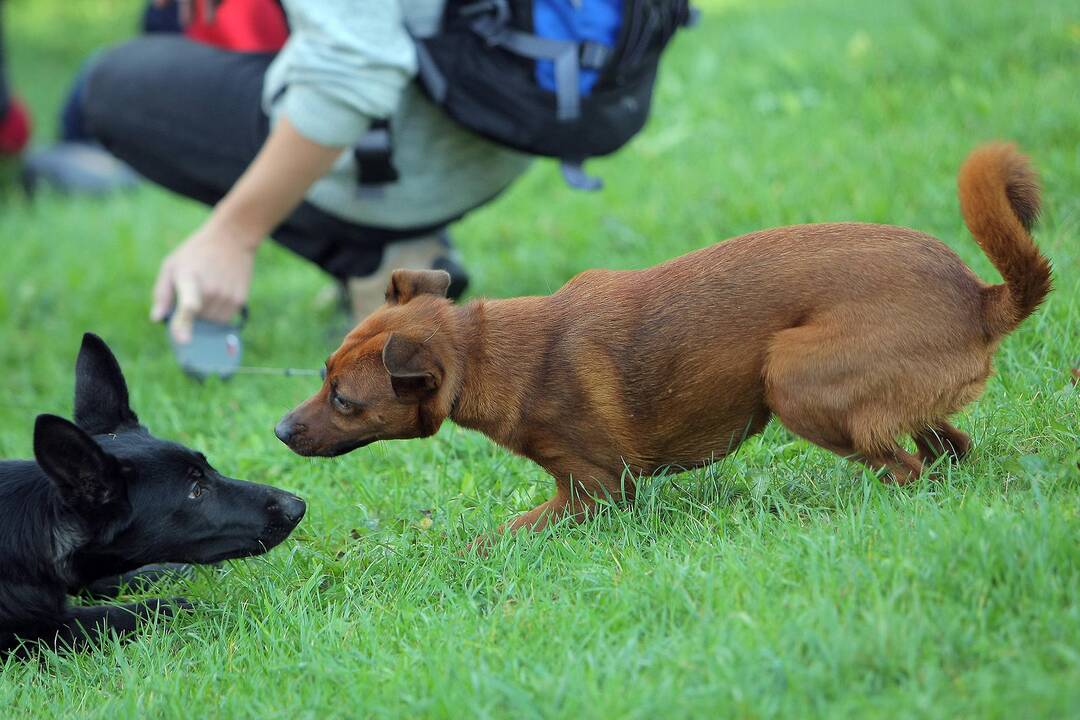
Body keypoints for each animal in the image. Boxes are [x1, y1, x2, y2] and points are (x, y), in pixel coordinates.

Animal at [1, 334, 304, 656]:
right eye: (196, 491)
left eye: (209, 468)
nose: (298, 508)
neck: (44, 531)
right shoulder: (37, 633)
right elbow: (144, 610)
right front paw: (203, 607)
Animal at [274, 142, 1049, 535]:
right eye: (321, 374)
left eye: (343, 401)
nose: (280, 430)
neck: (485, 350)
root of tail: (981, 297)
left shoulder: (594, 493)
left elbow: (507, 532)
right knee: (948, 448)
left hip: (789, 379)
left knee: (906, 466)